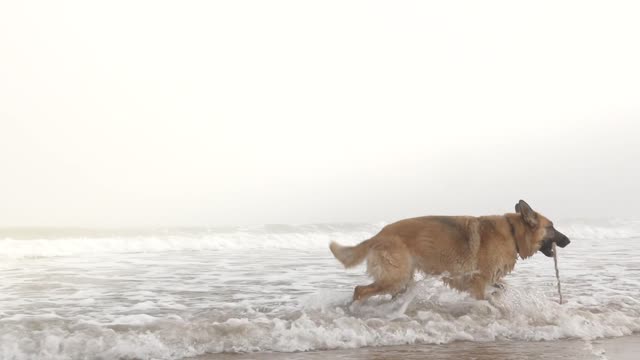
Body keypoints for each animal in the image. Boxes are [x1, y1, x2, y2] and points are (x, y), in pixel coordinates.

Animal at [330, 200, 568, 300]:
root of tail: (378, 235)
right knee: (359, 290)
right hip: (394, 279)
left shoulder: (488, 281)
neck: (512, 232)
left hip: (401, 281)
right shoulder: (478, 283)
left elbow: (500, 289)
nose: (568, 241)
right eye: (551, 227)